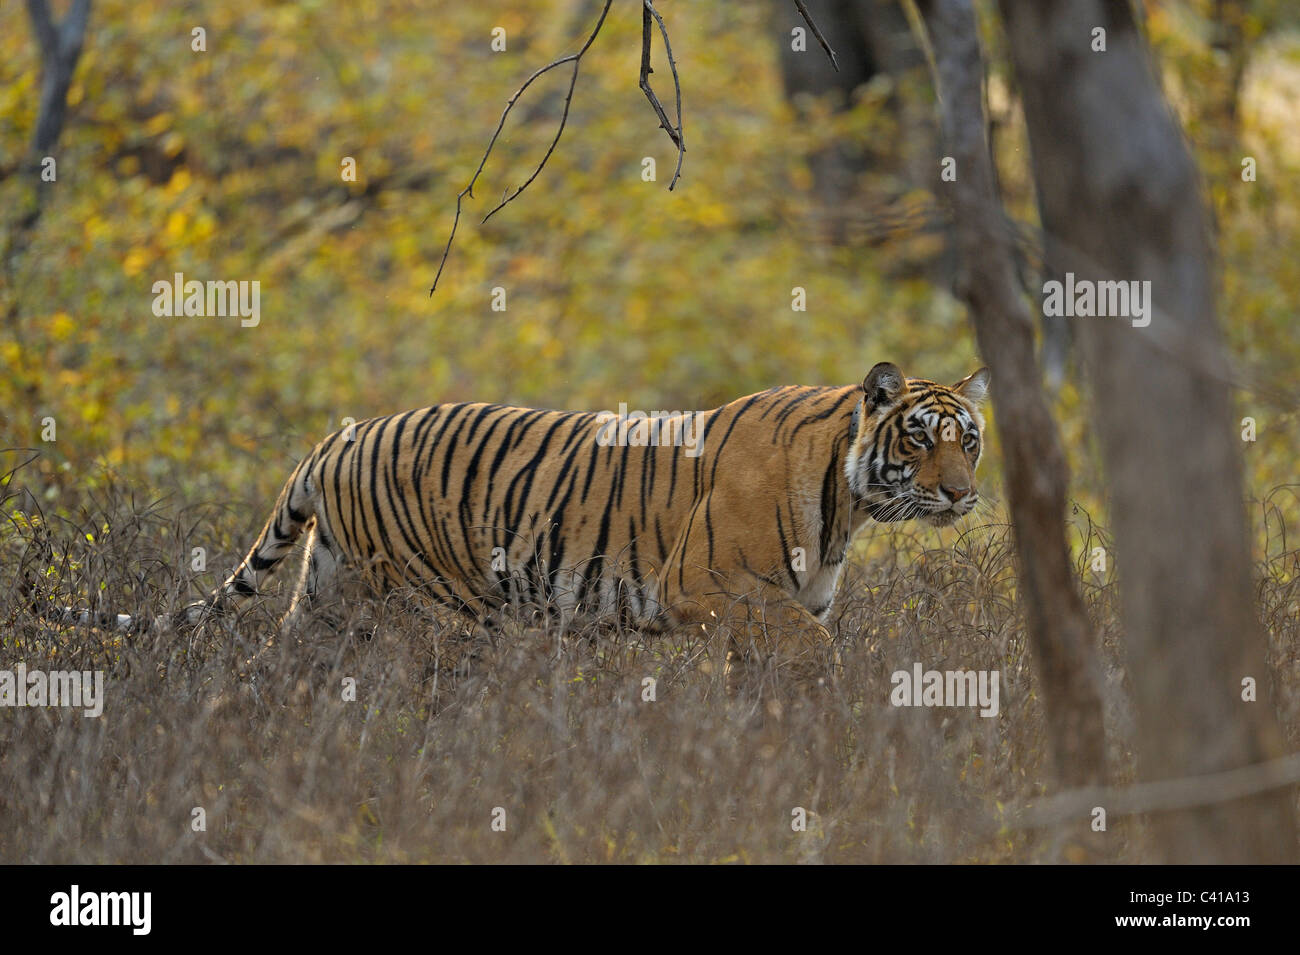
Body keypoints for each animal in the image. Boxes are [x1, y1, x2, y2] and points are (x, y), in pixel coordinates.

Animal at [53, 361, 982, 686]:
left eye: (969, 439)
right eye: (920, 439)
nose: (964, 494)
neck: (846, 500)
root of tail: (337, 439)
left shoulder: (773, 607)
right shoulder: (715, 589)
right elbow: (820, 654)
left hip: (329, 595)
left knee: (273, 662)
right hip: (444, 609)